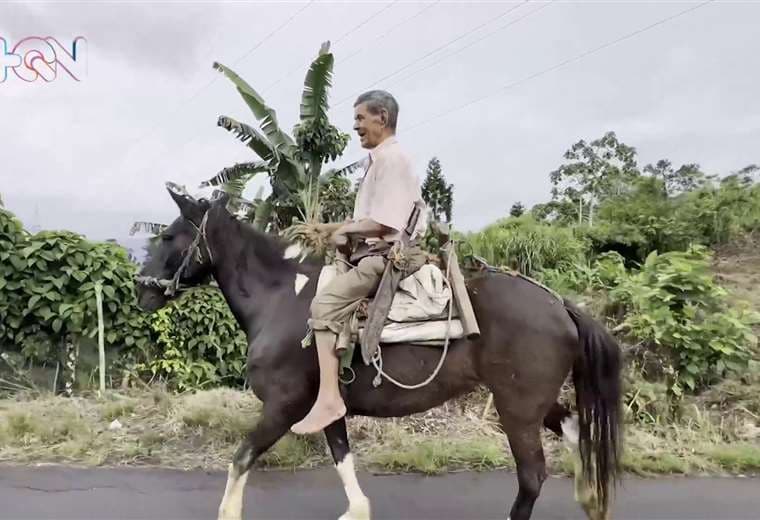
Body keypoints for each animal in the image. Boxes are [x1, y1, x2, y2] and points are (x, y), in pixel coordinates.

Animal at [137, 189, 620, 520]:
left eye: (168, 236)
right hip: (533, 402)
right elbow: (342, 459)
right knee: (576, 433)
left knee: (532, 477)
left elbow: (240, 458)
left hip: (516, 409)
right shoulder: (327, 408)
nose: (142, 291)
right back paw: (592, 501)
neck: (279, 300)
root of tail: (560, 304)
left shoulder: (283, 406)